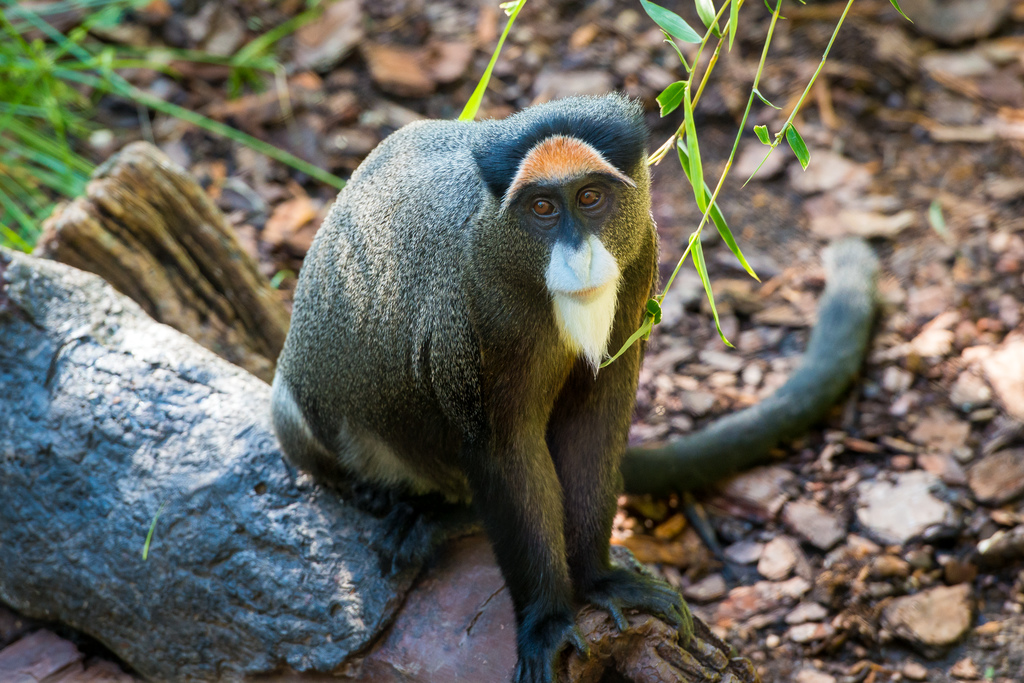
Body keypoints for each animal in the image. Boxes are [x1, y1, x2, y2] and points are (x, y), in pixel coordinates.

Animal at [268, 92, 692, 683]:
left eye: (589, 197)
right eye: (542, 208)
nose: (580, 254)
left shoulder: (640, 259)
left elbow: (594, 427)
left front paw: (600, 580)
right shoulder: (472, 309)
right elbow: (505, 453)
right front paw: (546, 623)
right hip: (297, 411)